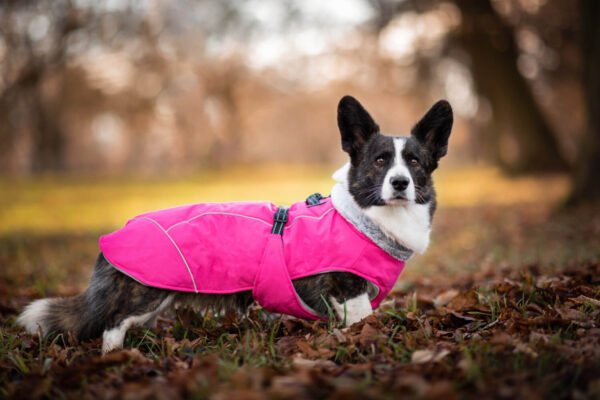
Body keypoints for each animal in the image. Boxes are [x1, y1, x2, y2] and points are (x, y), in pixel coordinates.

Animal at [16, 96, 452, 354]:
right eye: (380, 160)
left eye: (415, 162)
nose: (400, 183)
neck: (366, 218)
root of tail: (116, 233)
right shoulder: (349, 293)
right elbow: (362, 323)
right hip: (144, 296)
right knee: (112, 325)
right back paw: (116, 358)